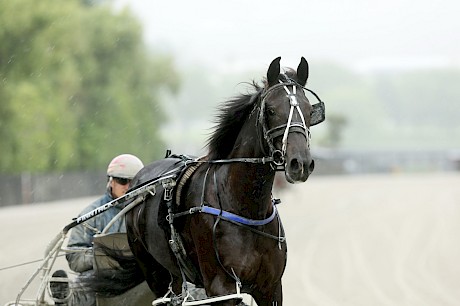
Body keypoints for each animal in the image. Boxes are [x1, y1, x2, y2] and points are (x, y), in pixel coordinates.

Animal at [90, 56, 326, 304]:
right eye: (270, 110)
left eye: (309, 111)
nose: (300, 163)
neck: (245, 207)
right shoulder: (221, 288)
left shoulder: (270, 288)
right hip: (152, 269)